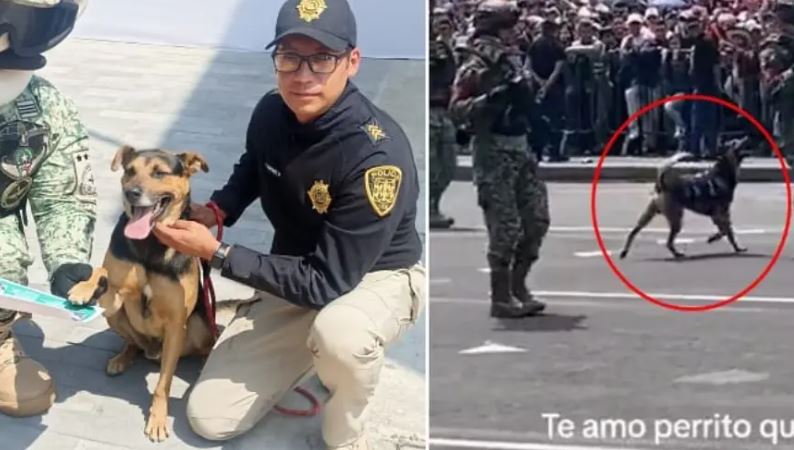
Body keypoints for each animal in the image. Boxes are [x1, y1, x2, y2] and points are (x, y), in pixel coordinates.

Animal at [69, 146, 213, 442]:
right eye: (129, 171)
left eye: (159, 173)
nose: (131, 192)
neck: (150, 243)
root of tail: (152, 352)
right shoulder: (114, 298)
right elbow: (102, 270)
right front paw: (84, 286)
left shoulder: (176, 323)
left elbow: (162, 385)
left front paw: (157, 419)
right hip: (116, 319)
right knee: (132, 343)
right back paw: (123, 357)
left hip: (197, 325)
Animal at [620, 141, 748, 260]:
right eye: (735, 142)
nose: (748, 138)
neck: (722, 172)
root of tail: (663, 184)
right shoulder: (719, 215)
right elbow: (725, 232)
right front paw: (712, 238)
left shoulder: (720, 216)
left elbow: (729, 233)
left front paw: (737, 248)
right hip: (676, 219)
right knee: (668, 243)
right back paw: (677, 253)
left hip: (649, 214)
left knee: (633, 232)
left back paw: (624, 251)